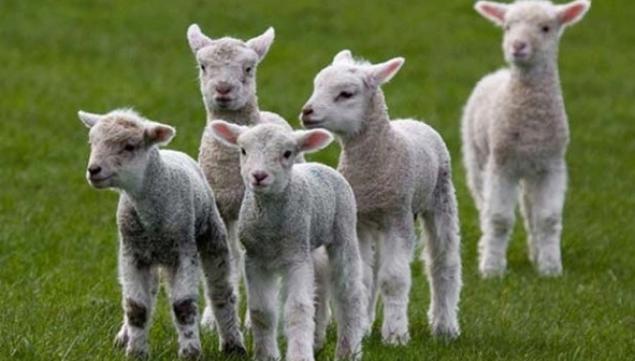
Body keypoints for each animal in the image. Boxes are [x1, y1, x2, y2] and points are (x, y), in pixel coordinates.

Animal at [77, 109, 246, 358]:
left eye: (129, 146)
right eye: (92, 142)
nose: (93, 170)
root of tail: (173, 151)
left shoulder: (184, 250)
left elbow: (183, 305)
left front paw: (190, 352)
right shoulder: (132, 253)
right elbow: (136, 306)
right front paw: (136, 352)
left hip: (212, 235)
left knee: (221, 292)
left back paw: (233, 344)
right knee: (150, 292)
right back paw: (125, 335)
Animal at [185, 23, 306, 330]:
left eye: (249, 68)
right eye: (203, 66)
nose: (223, 88)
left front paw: (253, 320)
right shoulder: (218, 207)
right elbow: (226, 259)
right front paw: (210, 319)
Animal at [210, 121, 368, 360]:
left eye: (287, 153)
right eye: (243, 150)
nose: (259, 176)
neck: (270, 231)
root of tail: (320, 164)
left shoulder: (296, 258)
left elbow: (298, 309)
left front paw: (299, 355)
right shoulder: (255, 259)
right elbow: (261, 311)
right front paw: (266, 355)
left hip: (344, 229)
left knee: (349, 293)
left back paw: (348, 350)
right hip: (310, 244)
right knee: (320, 286)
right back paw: (317, 341)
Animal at [300, 50, 464, 340]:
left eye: (346, 94)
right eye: (316, 85)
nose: (307, 112)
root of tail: (413, 120)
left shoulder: (398, 217)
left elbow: (394, 279)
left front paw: (396, 334)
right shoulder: (361, 222)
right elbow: (365, 278)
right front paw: (362, 329)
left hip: (440, 198)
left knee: (443, 261)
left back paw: (445, 326)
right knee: (376, 270)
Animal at [462, 0, 592, 278]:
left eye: (545, 28)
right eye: (507, 27)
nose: (517, 46)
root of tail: (498, 73)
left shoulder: (552, 166)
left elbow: (548, 218)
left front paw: (551, 268)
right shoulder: (501, 165)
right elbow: (498, 218)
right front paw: (492, 270)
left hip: (531, 170)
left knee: (530, 208)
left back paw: (535, 252)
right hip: (477, 157)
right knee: (484, 206)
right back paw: (486, 249)